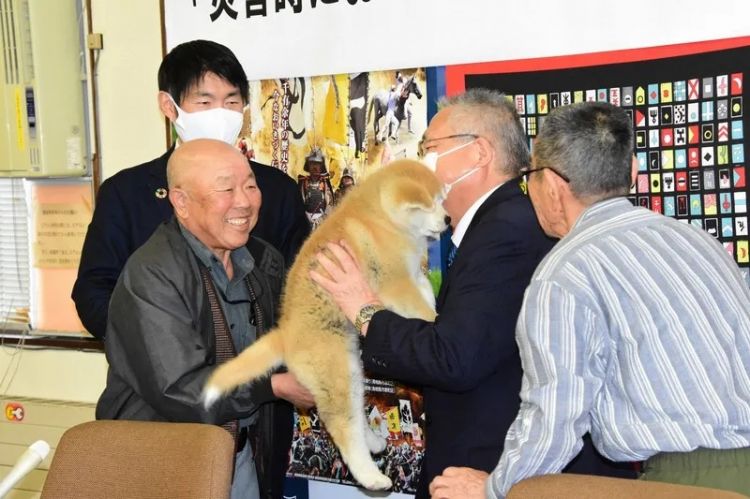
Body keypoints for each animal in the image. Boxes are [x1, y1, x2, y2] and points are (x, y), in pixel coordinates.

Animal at [204, 161, 446, 492]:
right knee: (343, 427)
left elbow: (423, 290)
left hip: (348, 368)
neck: (381, 219)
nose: (448, 219)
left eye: (442, 199)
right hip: (335, 373)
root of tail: (286, 333)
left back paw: (373, 442)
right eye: (430, 205)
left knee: (355, 414)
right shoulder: (395, 283)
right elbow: (417, 306)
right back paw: (371, 476)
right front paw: (434, 320)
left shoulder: (412, 276)